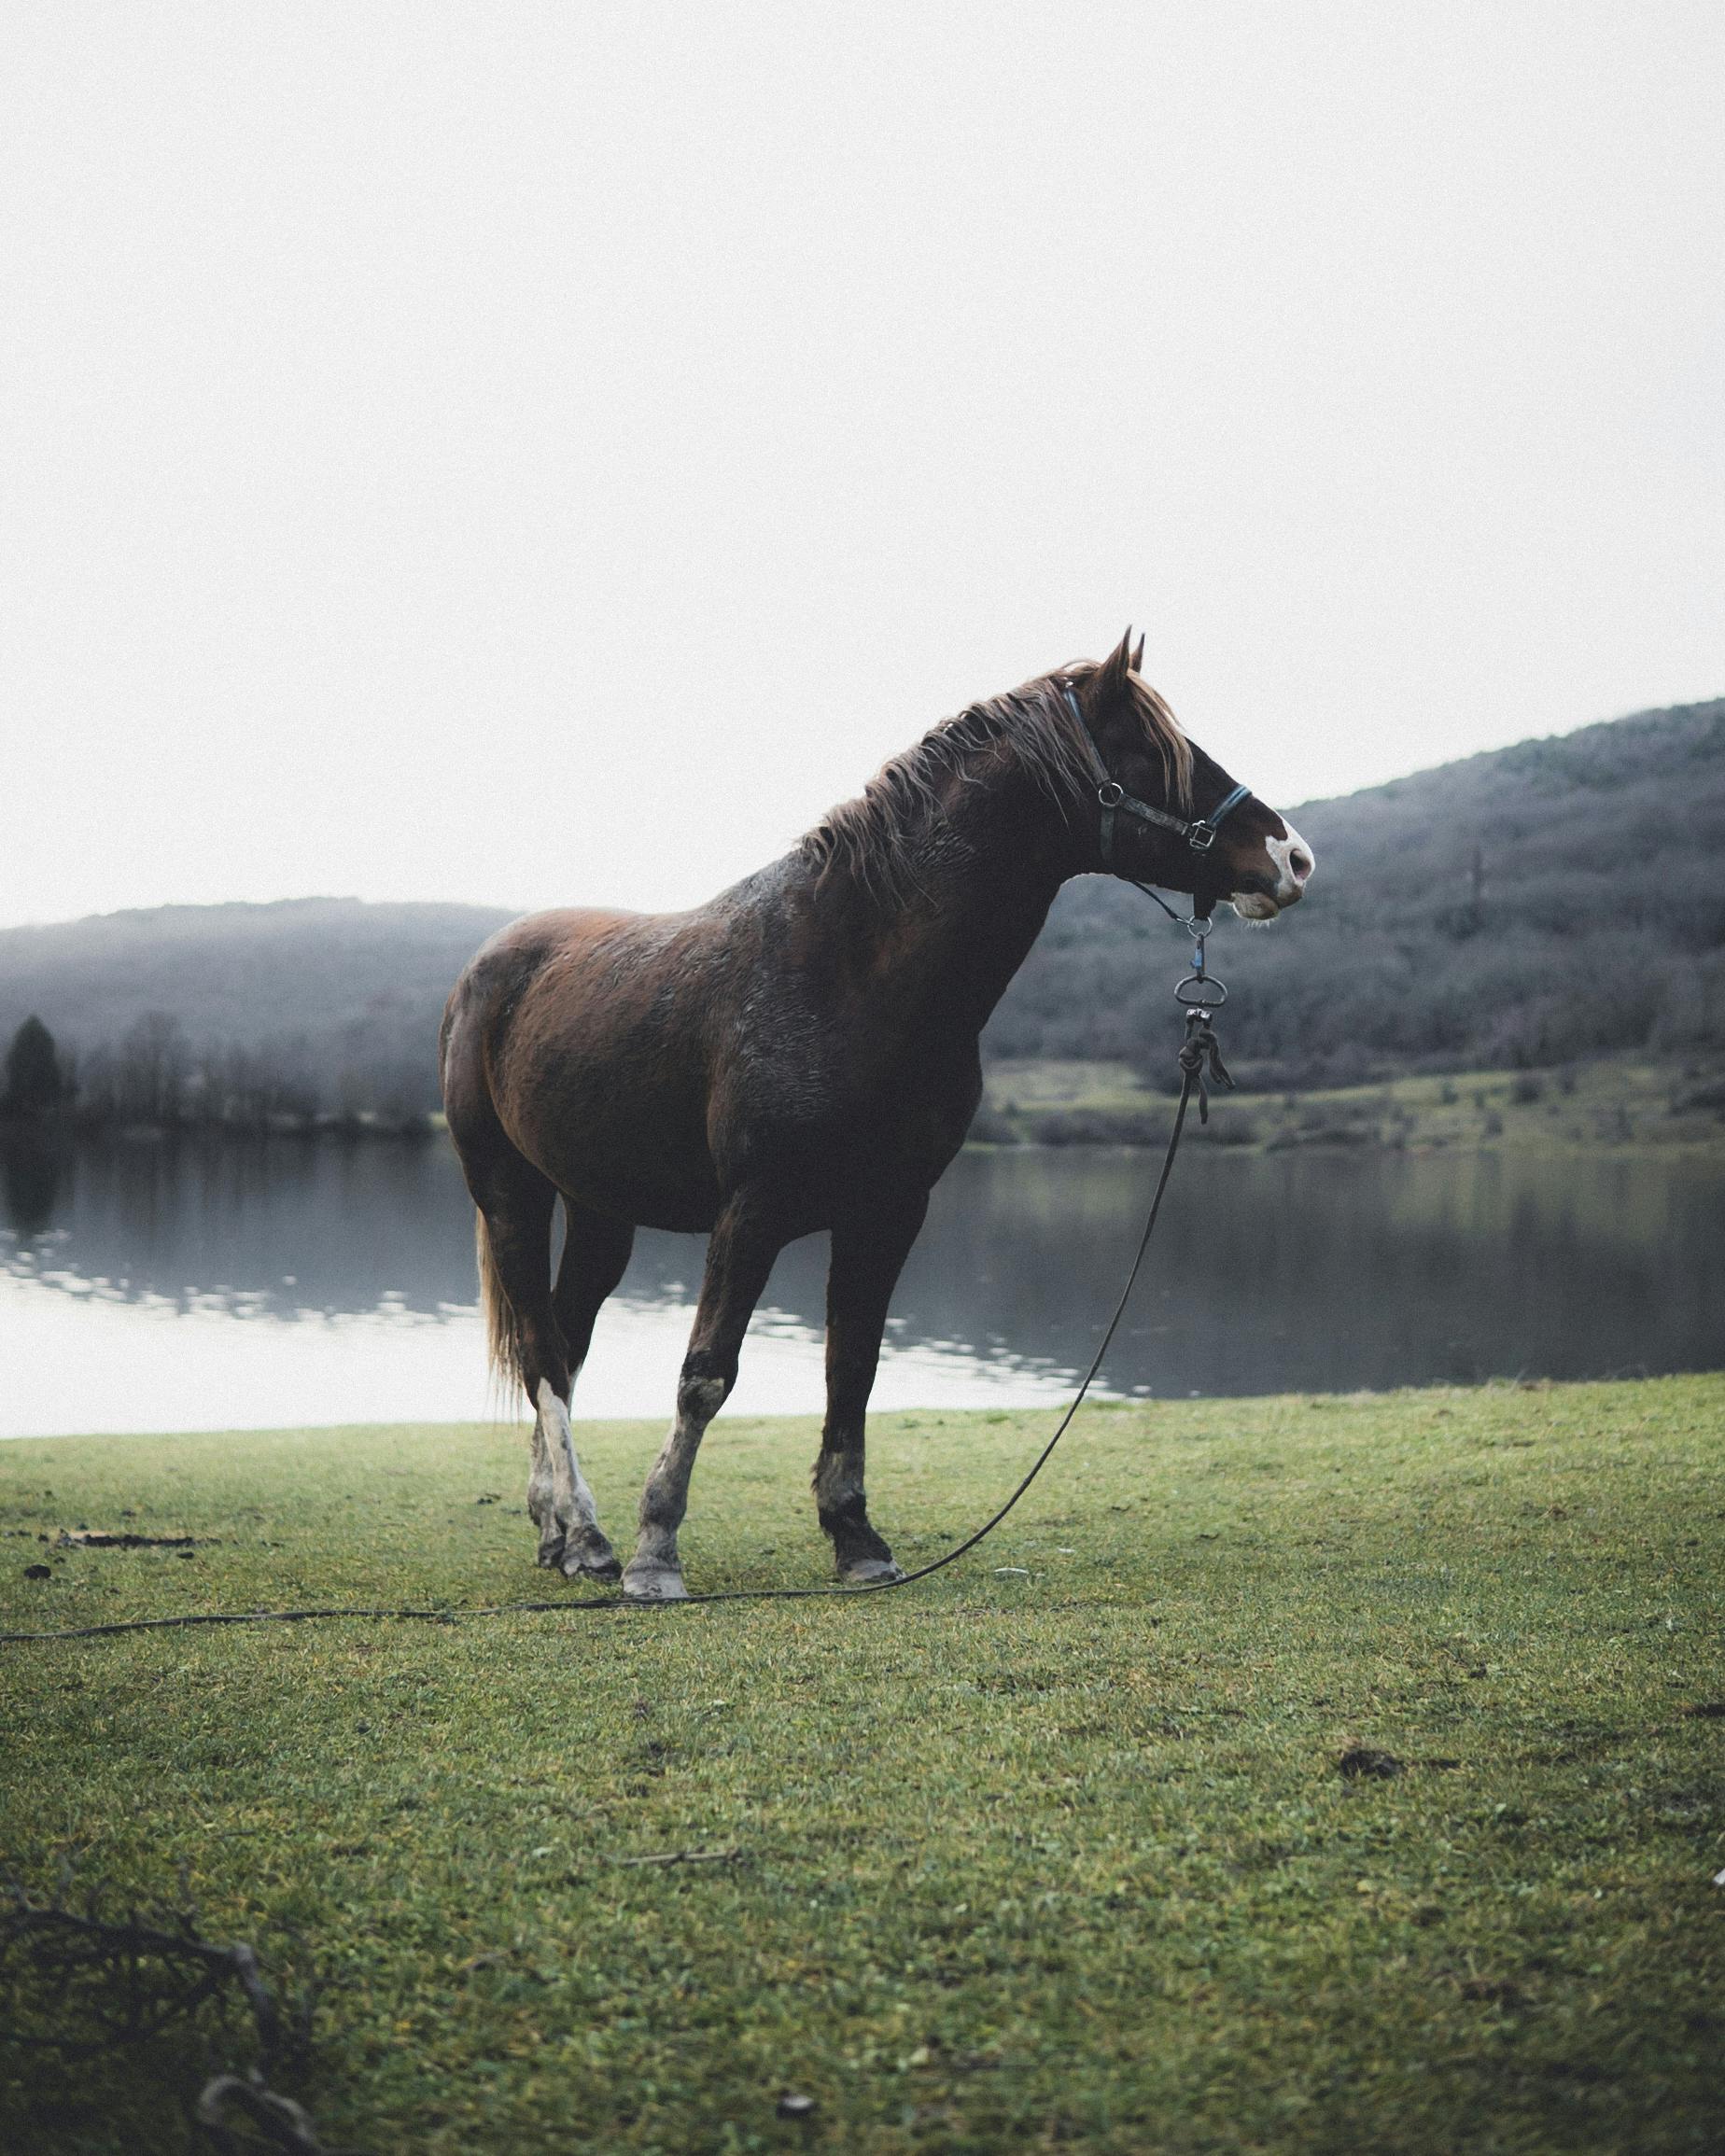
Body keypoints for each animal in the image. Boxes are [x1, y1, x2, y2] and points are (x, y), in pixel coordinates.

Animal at [439, 630, 1313, 1601]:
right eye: (1152, 753)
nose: (1291, 858)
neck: (847, 972)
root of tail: (486, 968)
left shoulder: (889, 1212)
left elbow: (851, 1371)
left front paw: (855, 1537)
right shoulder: (751, 1213)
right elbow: (706, 1374)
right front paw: (656, 1550)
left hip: (601, 1214)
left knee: (562, 1339)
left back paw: (558, 1531)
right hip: (509, 1195)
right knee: (544, 1353)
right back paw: (590, 1536)